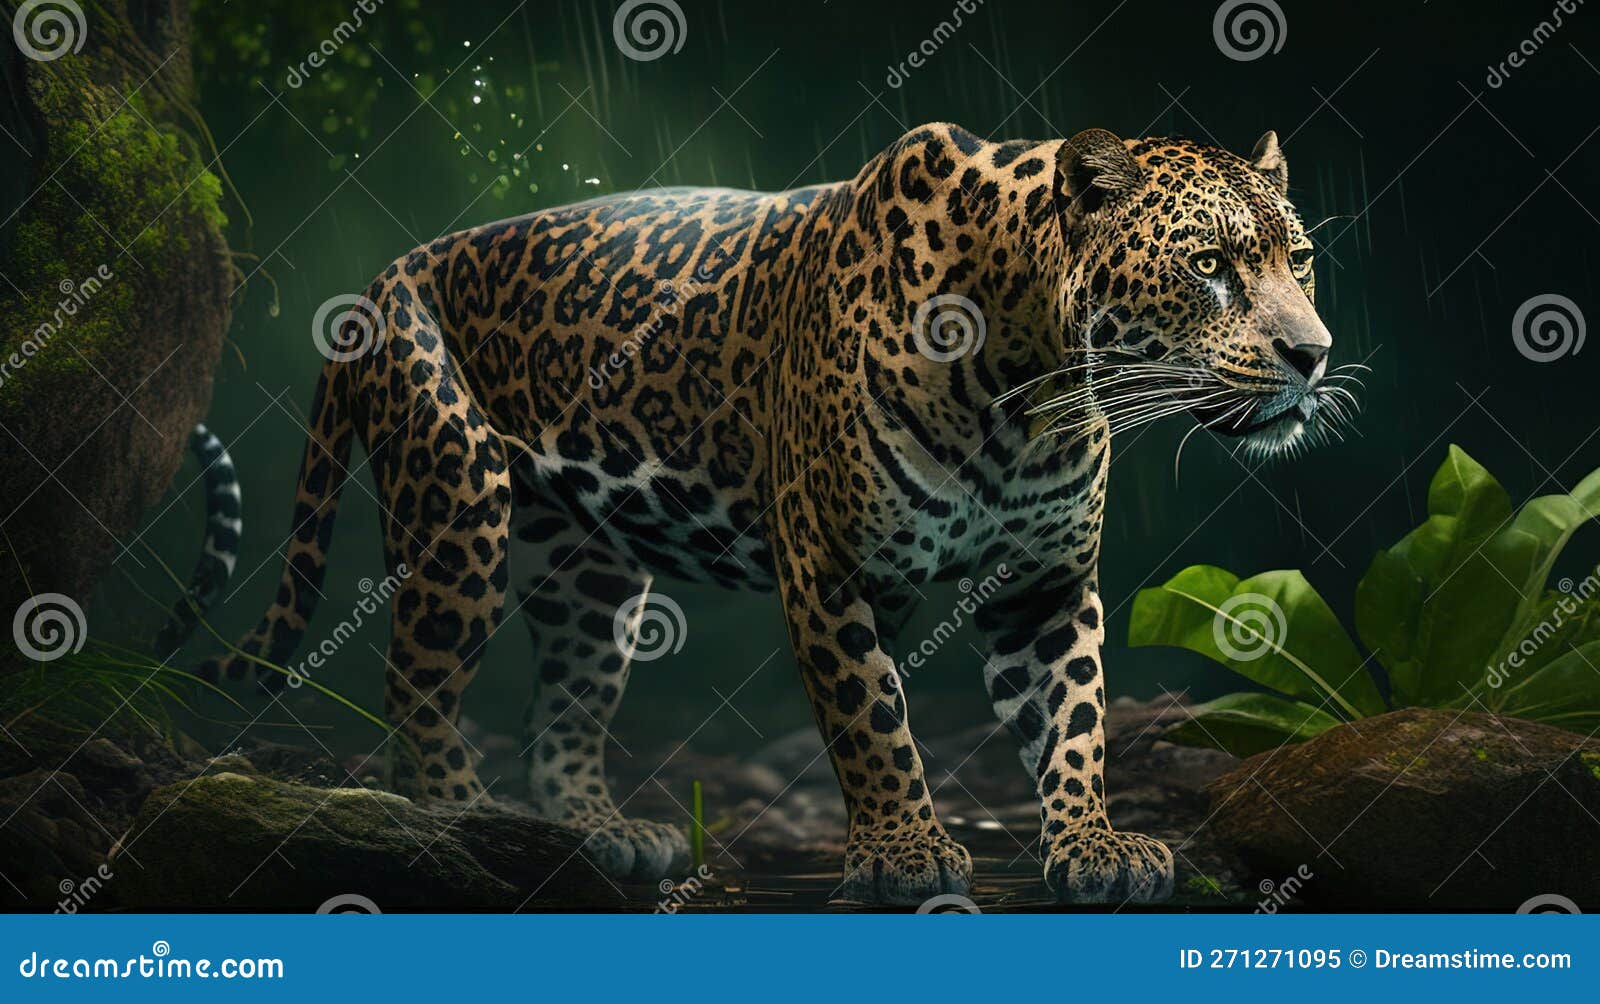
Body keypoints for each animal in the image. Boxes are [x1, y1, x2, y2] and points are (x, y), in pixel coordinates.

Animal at [202, 122, 1350, 905]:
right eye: (1207, 265)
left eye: (1295, 260)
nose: (1313, 353)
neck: (1033, 385)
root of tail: (385, 276)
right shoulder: (830, 569)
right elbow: (872, 720)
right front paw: (903, 856)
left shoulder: (1043, 584)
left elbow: (1073, 717)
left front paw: (1092, 846)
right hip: (456, 506)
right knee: (418, 685)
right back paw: (458, 825)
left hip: (592, 571)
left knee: (562, 707)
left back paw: (597, 835)